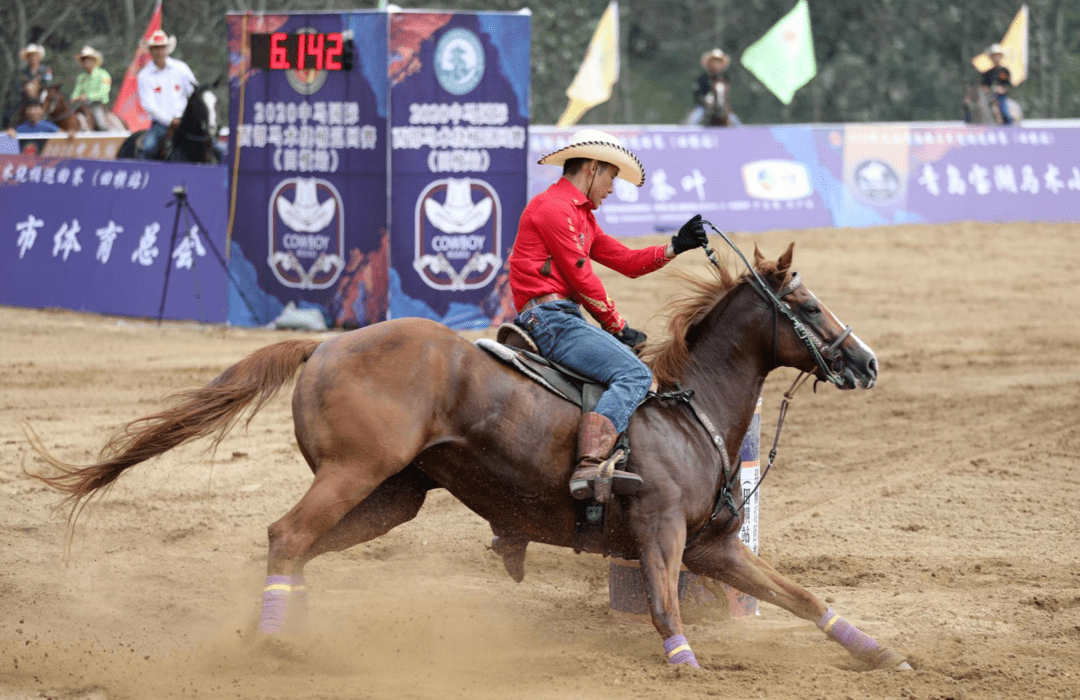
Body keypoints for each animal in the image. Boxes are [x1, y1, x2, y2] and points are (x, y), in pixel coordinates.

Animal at [33, 243, 907, 669]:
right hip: (353, 475)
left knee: (299, 547)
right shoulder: (661, 533)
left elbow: (800, 595)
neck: (684, 409)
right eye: (807, 304)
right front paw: (687, 664)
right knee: (286, 535)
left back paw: (290, 631)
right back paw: (281, 641)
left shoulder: (715, 548)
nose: (865, 362)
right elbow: (663, 604)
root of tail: (327, 343)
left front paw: (879, 652)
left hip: (391, 497)